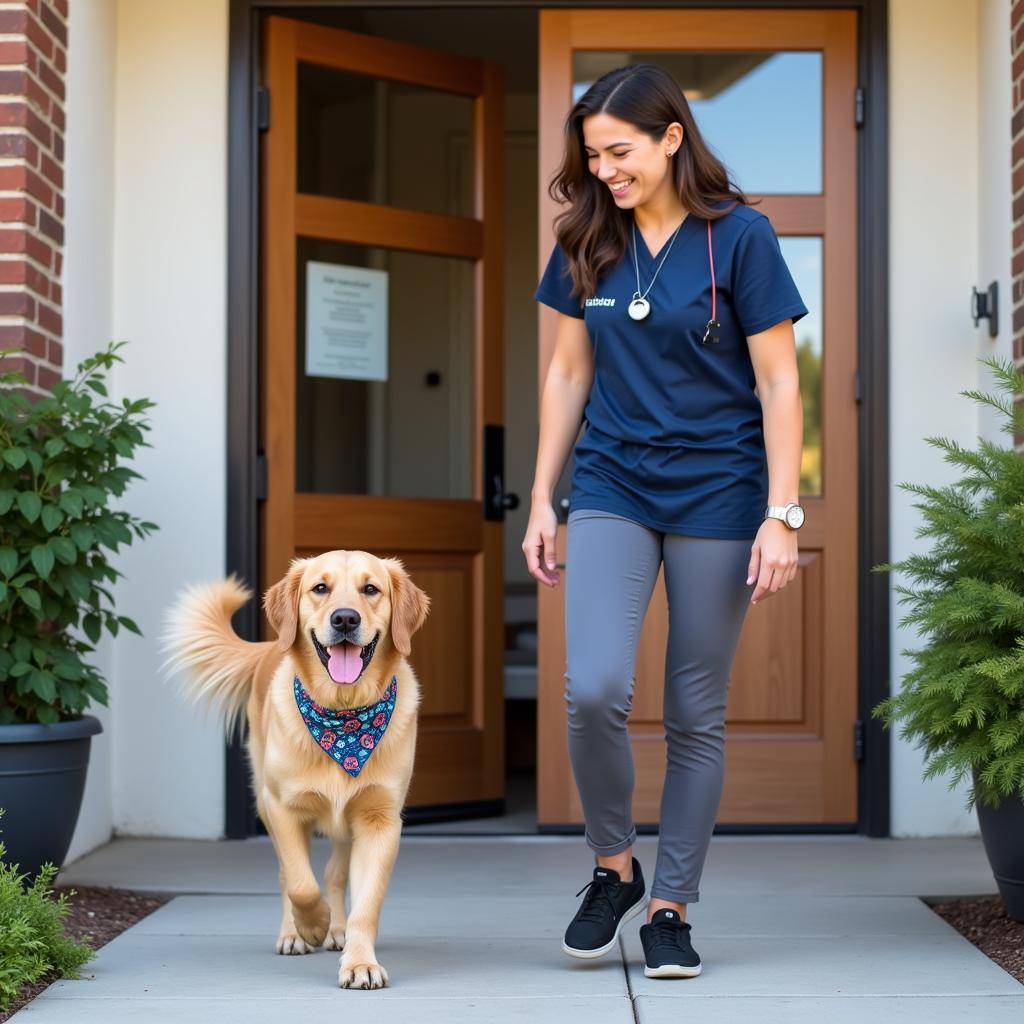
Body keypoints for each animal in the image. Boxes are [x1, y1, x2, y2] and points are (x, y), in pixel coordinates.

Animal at [158, 552, 428, 991]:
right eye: (320, 588)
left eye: (371, 589)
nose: (345, 619)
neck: (343, 716)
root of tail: (271, 644)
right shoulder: (282, 808)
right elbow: (300, 883)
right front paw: (312, 925)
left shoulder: (380, 820)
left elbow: (365, 903)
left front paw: (359, 961)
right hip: (266, 801)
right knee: (289, 875)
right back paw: (294, 934)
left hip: (345, 826)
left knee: (334, 873)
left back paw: (337, 931)